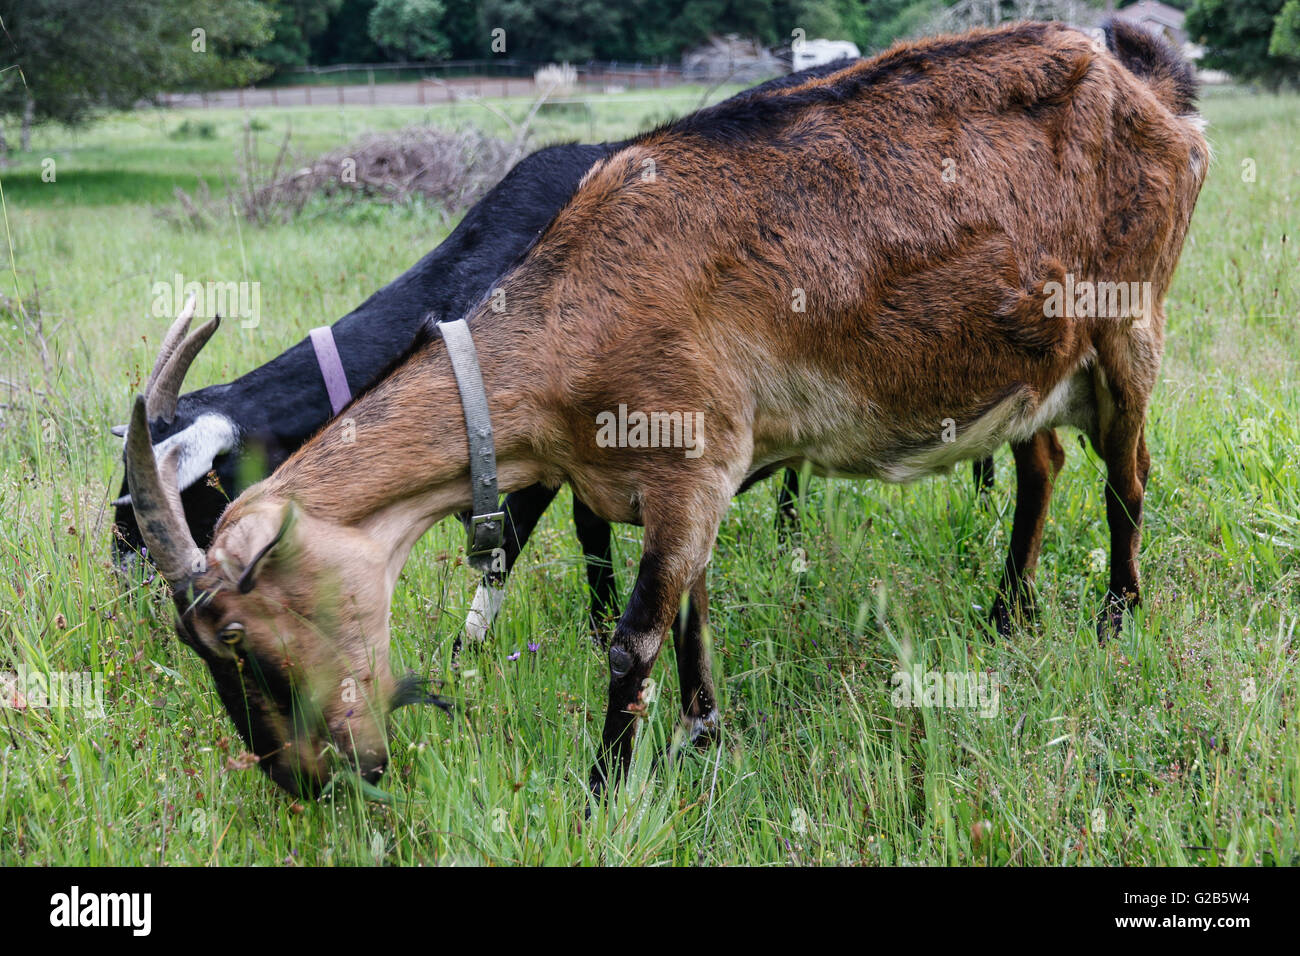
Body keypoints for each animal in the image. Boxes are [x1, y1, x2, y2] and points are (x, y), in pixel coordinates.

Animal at [124, 18, 1206, 796]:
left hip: (1128, 328)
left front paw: (608, 785)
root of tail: (1149, 92)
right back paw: (1007, 609)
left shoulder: (694, 461)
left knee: (1128, 474)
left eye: (239, 641)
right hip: (1027, 368)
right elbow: (690, 610)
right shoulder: (667, 485)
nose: (312, 782)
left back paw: (1113, 617)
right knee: (1042, 465)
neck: (578, 309)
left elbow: (633, 637)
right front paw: (702, 728)